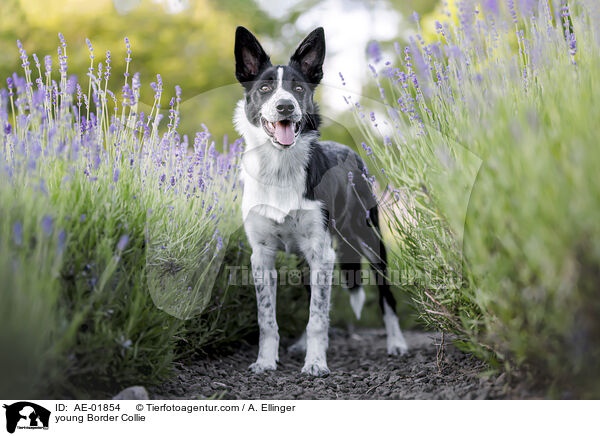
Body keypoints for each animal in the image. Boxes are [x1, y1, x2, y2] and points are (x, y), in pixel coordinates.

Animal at [233, 25, 408, 376]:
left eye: (298, 88)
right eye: (265, 88)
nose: (285, 107)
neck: (280, 169)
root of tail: (351, 153)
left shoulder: (321, 251)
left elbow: (317, 317)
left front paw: (315, 362)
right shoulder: (262, 256)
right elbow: (267, 319)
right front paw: (265, 361)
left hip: (371, 241)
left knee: (386, 298)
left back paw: (396, 343)